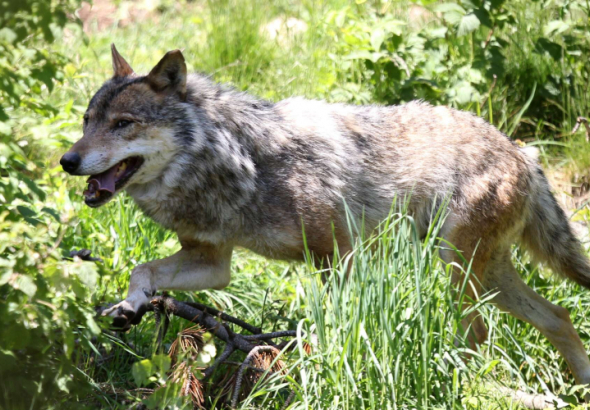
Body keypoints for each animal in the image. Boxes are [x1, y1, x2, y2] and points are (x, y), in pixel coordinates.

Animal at [62, 45, 590, 388]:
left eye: (123, 124)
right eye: (87, 121)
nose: (67, 161)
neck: (239, 161)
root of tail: (524, 154)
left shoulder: (338, 257)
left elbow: (333, 327)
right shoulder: (215, 263)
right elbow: (143, 270)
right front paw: (130, 307)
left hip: (459, 270)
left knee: (481, 333)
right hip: (485, 273)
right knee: (559, 316)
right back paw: (581, 386)